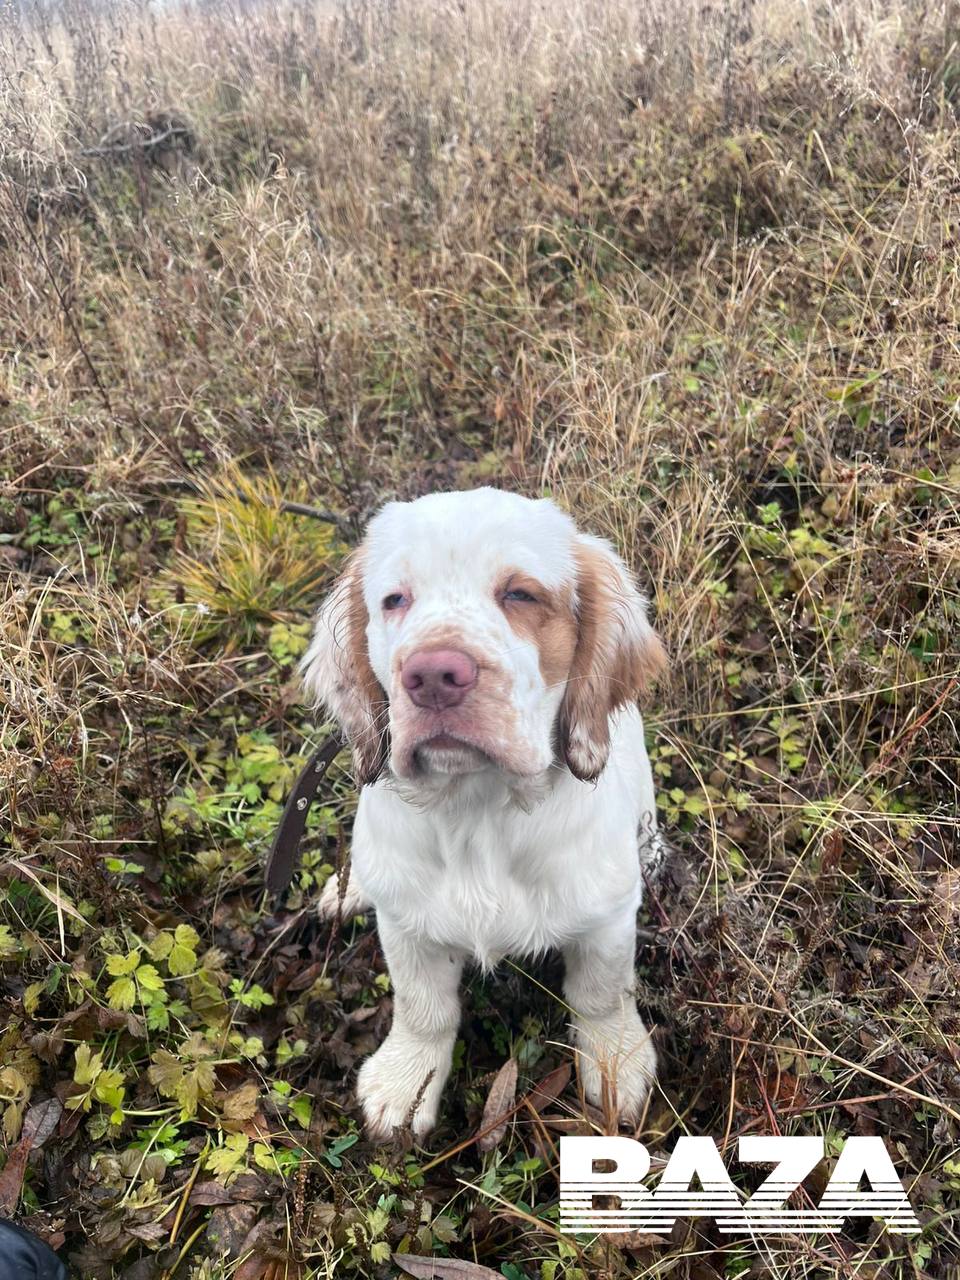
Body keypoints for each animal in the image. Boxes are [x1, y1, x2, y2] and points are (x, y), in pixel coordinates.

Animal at [302, 486, 670, 1141]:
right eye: (394, 600)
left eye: (520, 594)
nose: (432, 676)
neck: (476, 809)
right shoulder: (407, 924)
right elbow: (422, 1006)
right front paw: (406, 1084)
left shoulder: (605, 918)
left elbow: (602, 992)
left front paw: (616, 1063)